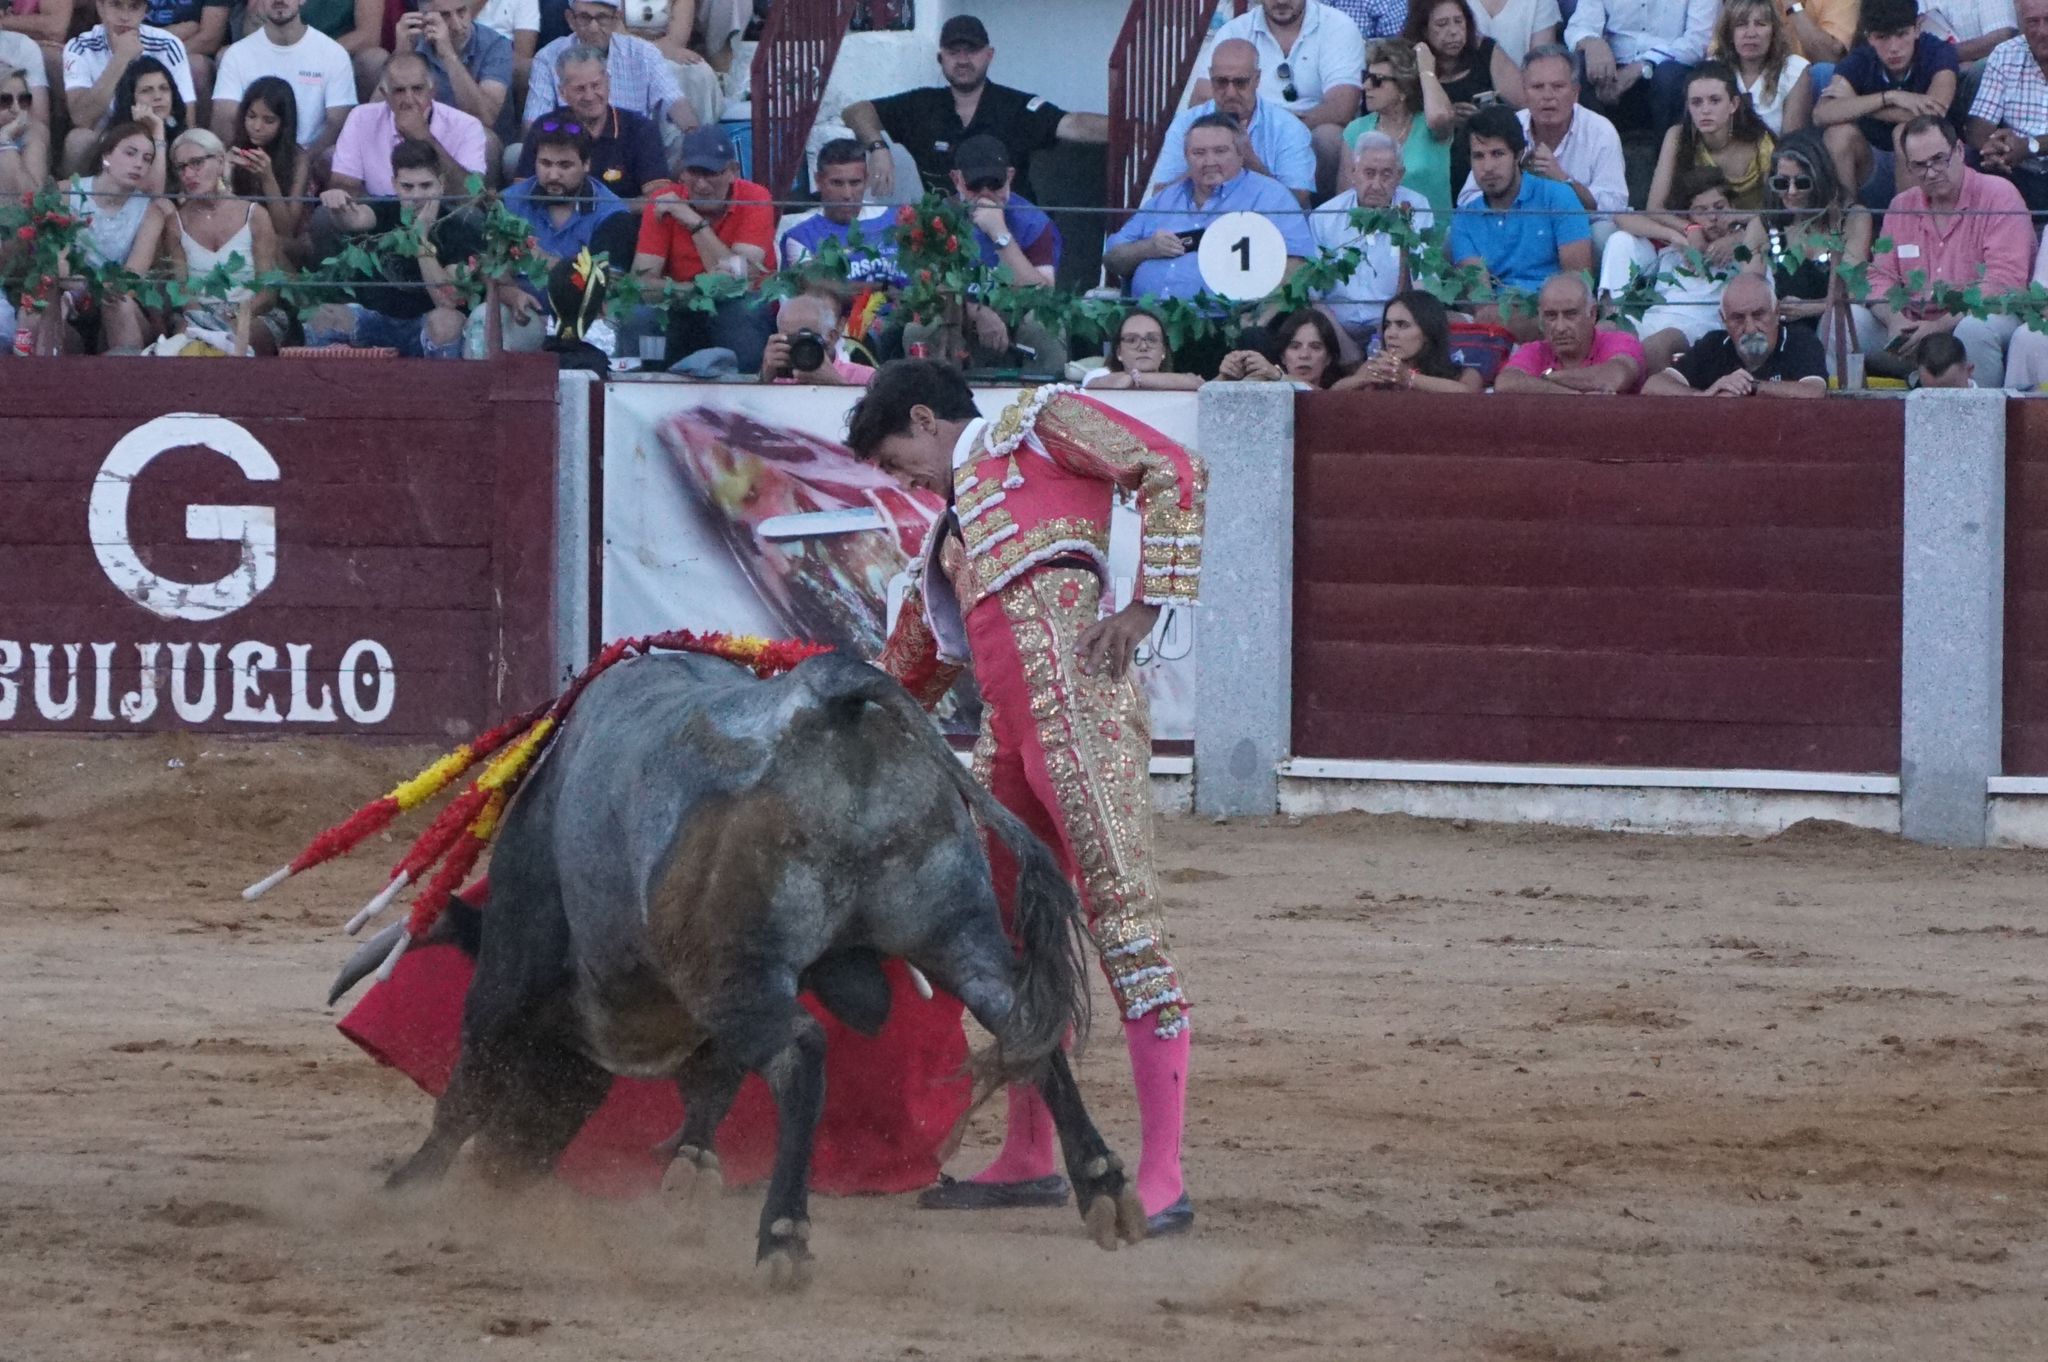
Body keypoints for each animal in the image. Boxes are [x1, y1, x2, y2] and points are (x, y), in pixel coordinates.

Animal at [327, 655, 1146, 1278]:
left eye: (555, 1070)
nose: (507, 1173)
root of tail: (831, 700)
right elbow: (712, 1078)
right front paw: (691, 1166)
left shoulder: (516, 968)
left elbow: (469, 1081)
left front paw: (409, 1186)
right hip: (953, 927)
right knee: (1022, 1025)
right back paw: (1104, 1187)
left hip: (742, 969)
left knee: (798, 1052)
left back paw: (783, 1235)